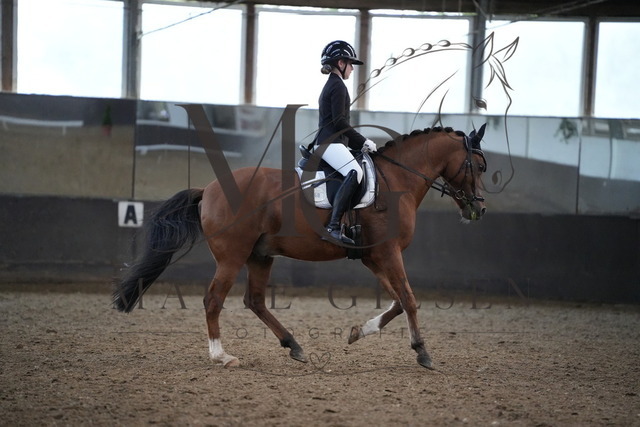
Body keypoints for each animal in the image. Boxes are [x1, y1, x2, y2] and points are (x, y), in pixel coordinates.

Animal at [113, 124, 487, 369]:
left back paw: (293, 345)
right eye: (480, 166)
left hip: (260, 256)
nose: (479, 209)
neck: (397, 182)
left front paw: (358, 332)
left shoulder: (373, 257)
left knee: (255, 301)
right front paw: (423, 352)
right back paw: (221, 356)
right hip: (232, 256)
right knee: (213, 300)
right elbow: (408, 299)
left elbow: (397, 301)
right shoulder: (388, 252)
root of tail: (210, 188)